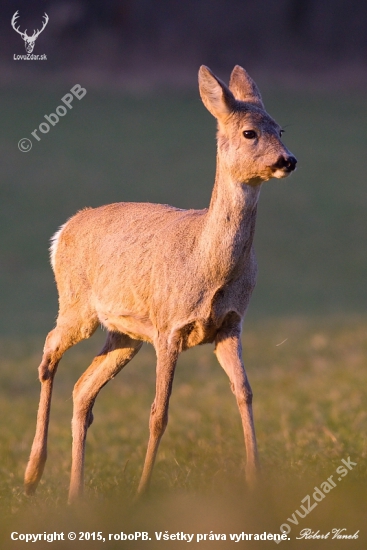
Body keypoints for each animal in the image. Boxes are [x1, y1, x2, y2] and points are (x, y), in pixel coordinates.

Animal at [24, 64, 298, 504]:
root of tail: (64, 228)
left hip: (125, 334)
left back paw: (74, 494)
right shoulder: (170, 326)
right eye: (249, 133)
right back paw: (33, 474)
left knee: (83, 388)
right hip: (77, 304)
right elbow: (158, 413)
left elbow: (245, 392)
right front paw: (141, 492)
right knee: (49, 351)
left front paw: (256, 481)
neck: (209, 264)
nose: (287, 160)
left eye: (281, 129)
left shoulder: (230, 325)